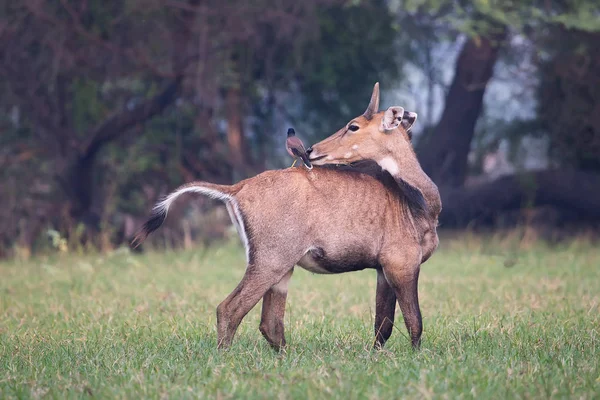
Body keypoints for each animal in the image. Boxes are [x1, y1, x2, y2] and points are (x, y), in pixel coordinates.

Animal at [132, 83, 440, 350]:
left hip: (281, 268)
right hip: (271, 261)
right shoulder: (401, 264)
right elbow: (415, 322)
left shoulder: (382, 270)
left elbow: (382, 325)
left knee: (269, 322)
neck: (417, 201)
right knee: (229, 308)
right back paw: (224, 356)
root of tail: (236, 189)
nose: (312, 150)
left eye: (353, 126)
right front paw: (414, 358)